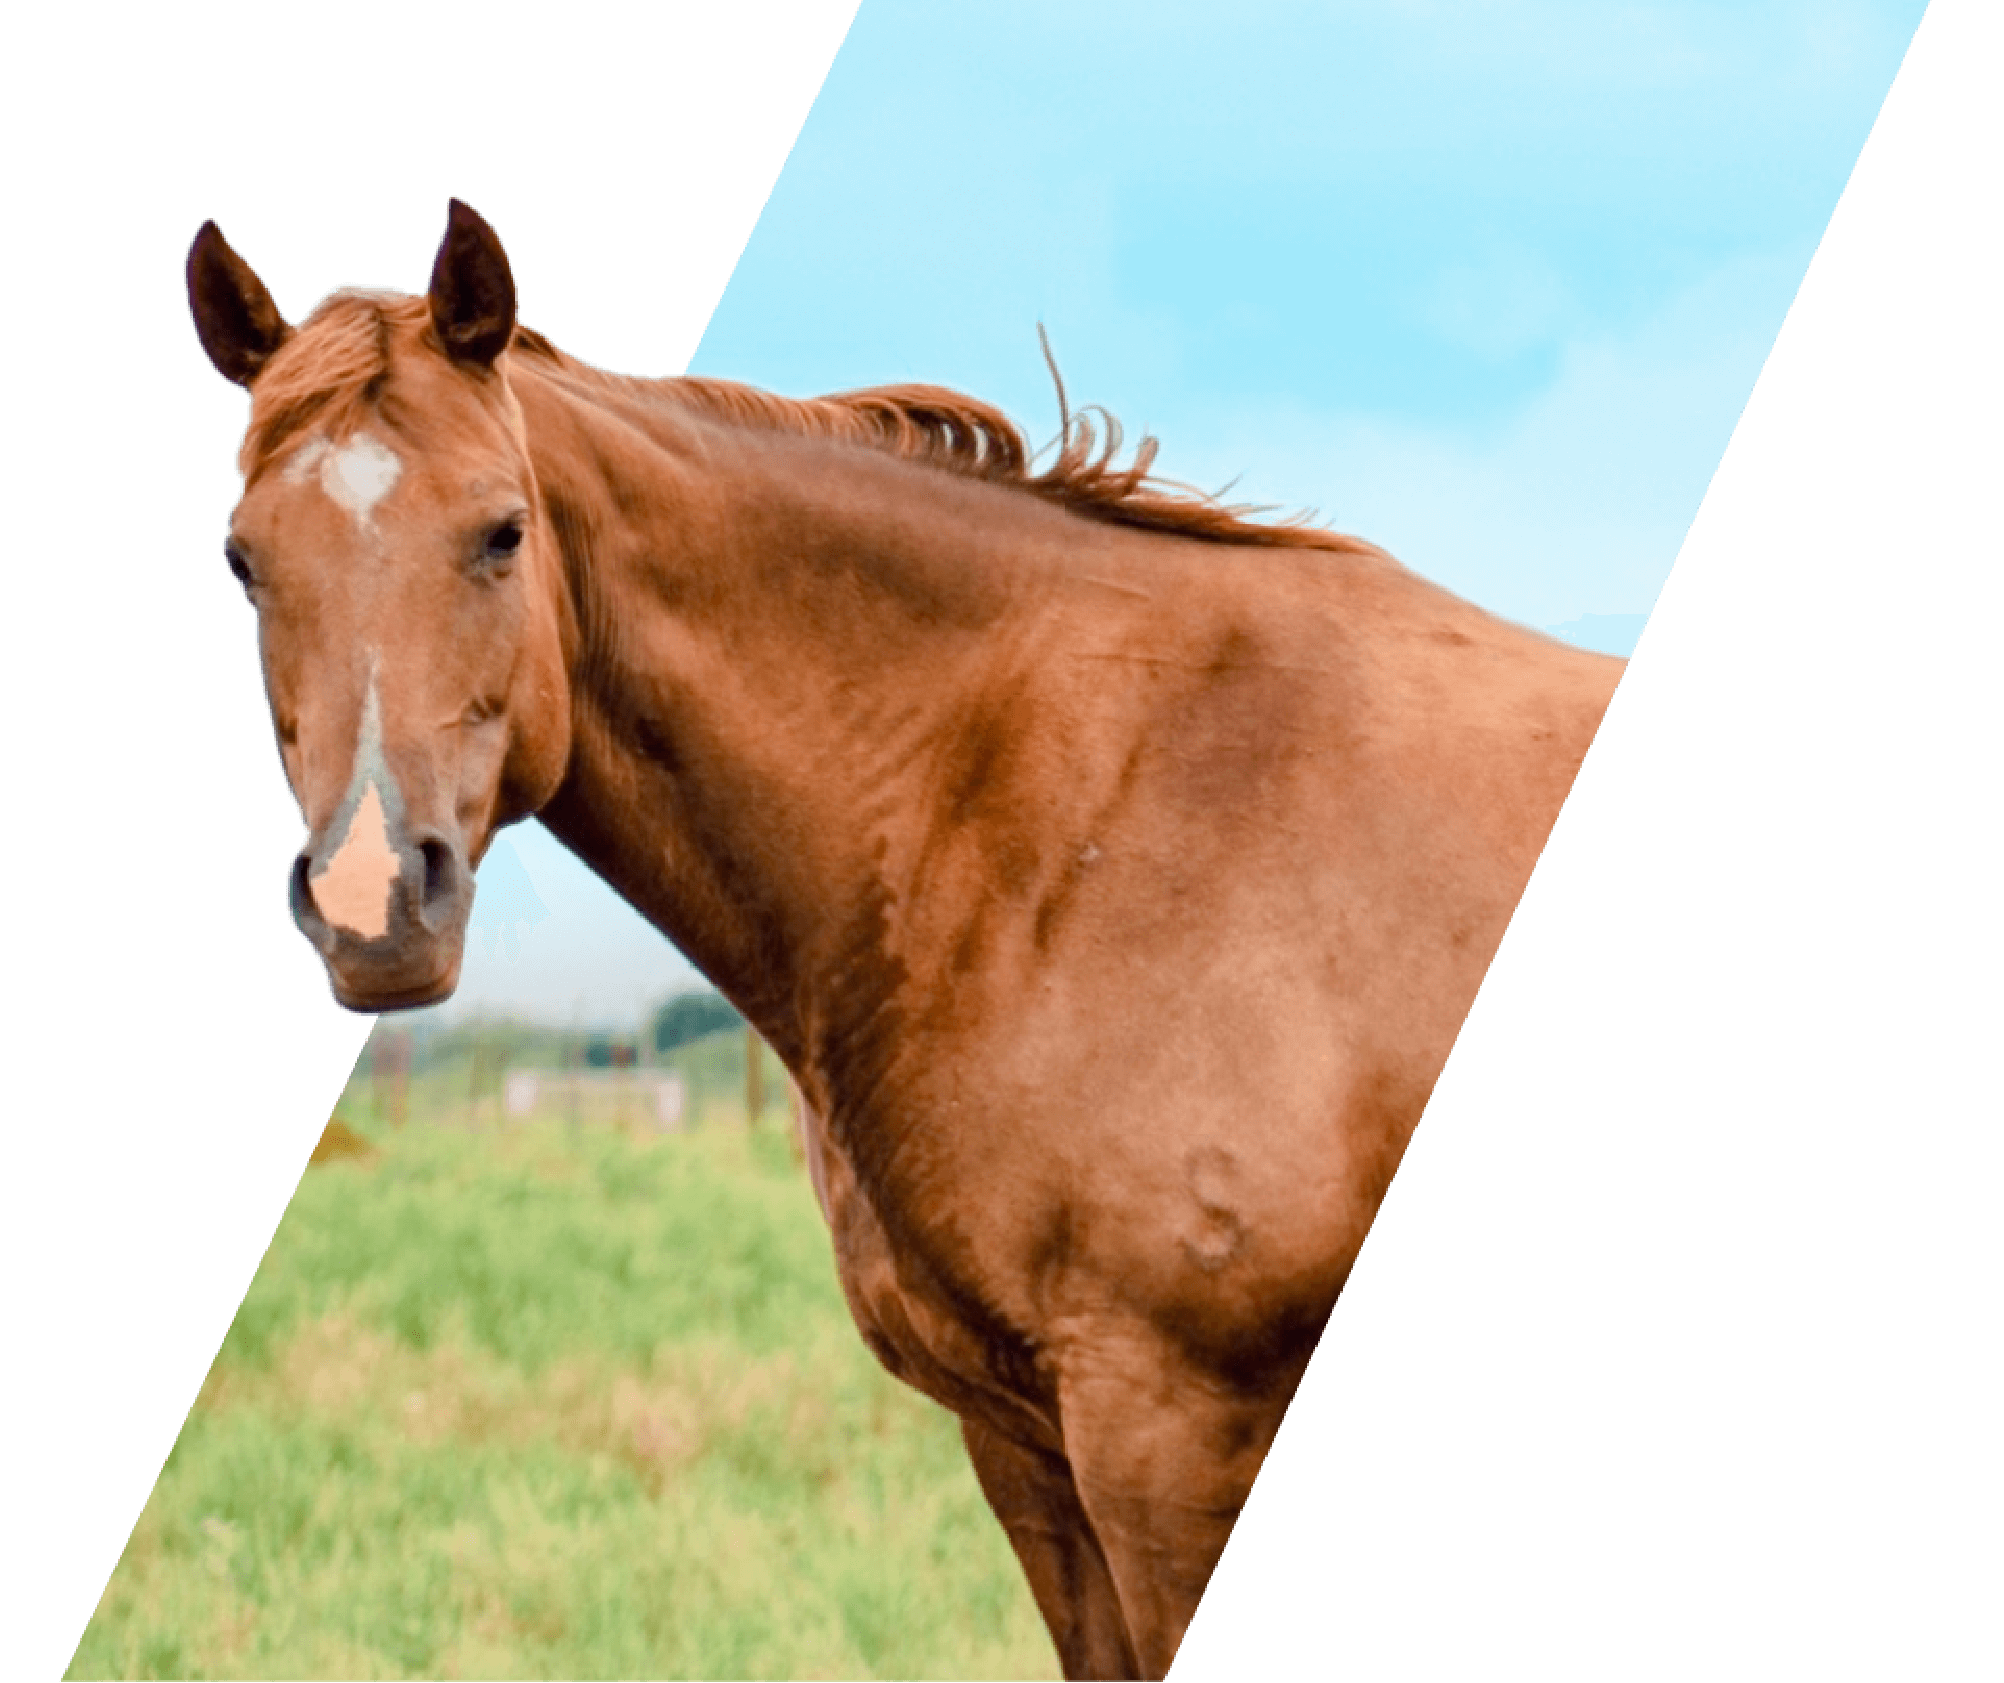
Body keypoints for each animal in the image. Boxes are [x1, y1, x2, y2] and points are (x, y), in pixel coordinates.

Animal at [187, 198, 1625, 1681]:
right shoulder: (1028, 1448)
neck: (1071, 808)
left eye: (502, 532)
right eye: (246, 560)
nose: (374, 902)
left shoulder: (1169, 1440)